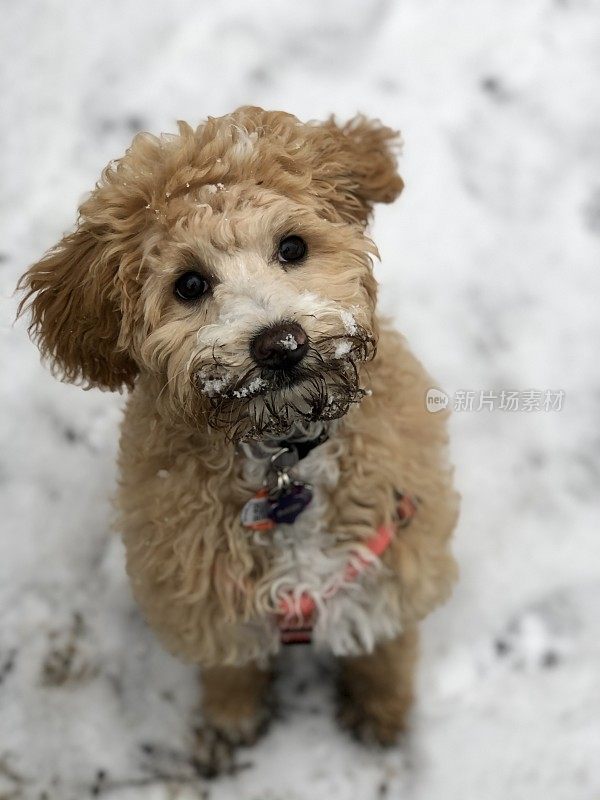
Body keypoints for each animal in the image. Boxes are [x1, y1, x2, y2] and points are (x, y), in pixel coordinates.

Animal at [18, 108, 460, 764]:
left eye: (293, 246)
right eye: (189, 284)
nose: (281, 345)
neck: (283, 456)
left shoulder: (399, 545)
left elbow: (387, 649)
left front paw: (382, 713)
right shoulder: (194, 583)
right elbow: (229, 668)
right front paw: (231, 719)